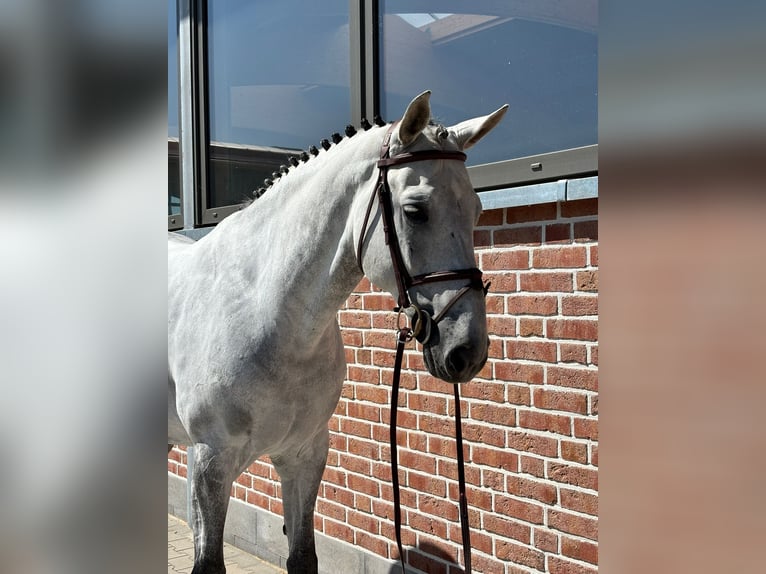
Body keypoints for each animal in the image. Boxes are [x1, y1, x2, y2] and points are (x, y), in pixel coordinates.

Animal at [168, 91, 508, 574]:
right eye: (415, 211)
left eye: (477, 210)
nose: (467, 349)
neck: (266, 313)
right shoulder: (210, 463)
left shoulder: (305, 456)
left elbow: (303, 557)